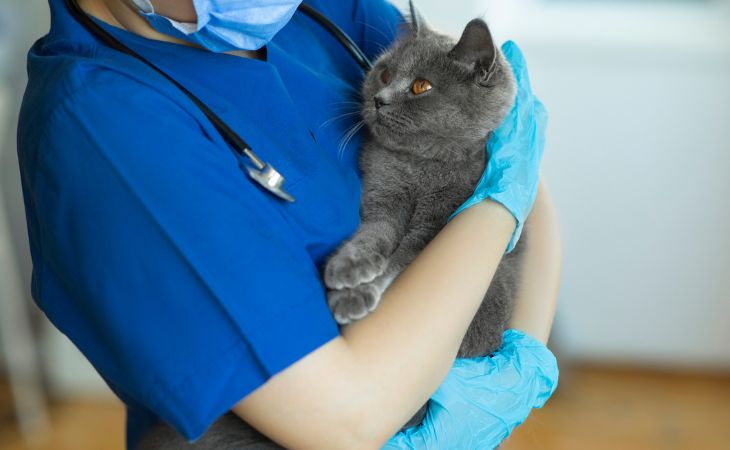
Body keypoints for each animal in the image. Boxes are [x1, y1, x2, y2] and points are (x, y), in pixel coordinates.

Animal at [138, 5, 524, 448]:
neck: (417, 167)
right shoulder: (381, 197)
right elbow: (374, 236)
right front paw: (349, 270)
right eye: (386, 74)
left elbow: (401, 263)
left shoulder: (439, 223)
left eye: (421, 86)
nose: (378, 99)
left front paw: (354, 296)